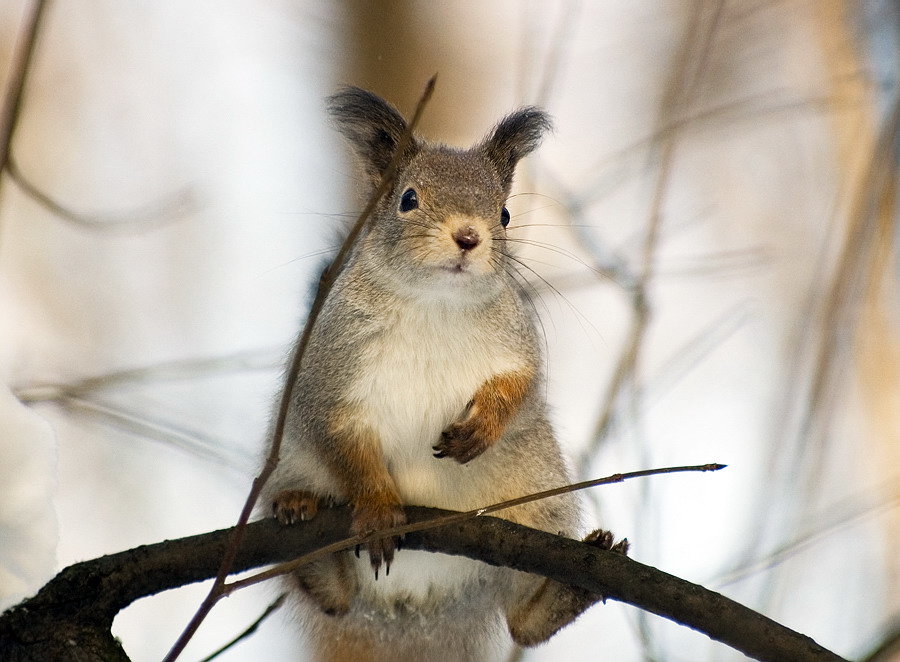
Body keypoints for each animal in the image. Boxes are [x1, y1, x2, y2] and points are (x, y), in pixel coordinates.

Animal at [260, 88, 624, 662]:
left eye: (504, 213)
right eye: (408, 199)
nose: (469, 236)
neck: (436, 301)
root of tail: (419, 597)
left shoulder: (517, 348)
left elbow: (519, 389)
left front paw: (481, 428)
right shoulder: (330, 373)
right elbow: (343, 439)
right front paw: (379, 508)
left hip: (538, 506)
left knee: (523, 621)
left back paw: (569, 589)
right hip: (292, 468)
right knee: (336, 599)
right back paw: (300, 514)